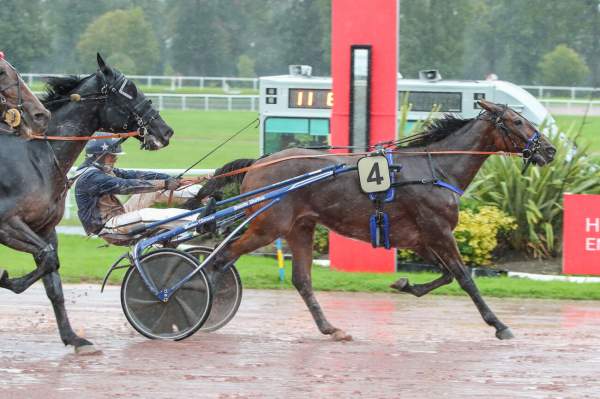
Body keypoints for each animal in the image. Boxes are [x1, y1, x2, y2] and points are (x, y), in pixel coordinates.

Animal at [0, 54, 173, 354]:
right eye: (130, 91)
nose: (166, 131)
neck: (35, 157)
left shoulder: (45, 229)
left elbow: (53, 274)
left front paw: (74, 338)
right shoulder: (7, 223)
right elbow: (48, 259)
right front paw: (10, 280)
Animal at [189, 100, 556, 340]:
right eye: (517, 121)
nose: (550, 150)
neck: (435, 169)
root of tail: (258, 163)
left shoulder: (420, 238)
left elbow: (446, 275)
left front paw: (404, 284)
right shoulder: (438, 231)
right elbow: (465, 278)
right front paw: (499, 325)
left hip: (299, 228)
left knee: (301, 280)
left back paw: (331, 328)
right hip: (268, 225)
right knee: (219, 259)